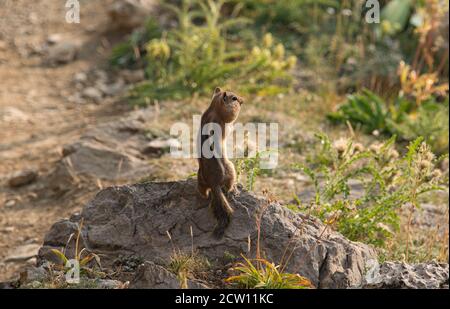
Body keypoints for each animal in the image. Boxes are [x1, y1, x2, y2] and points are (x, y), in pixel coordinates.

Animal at [198, 86, 244, 238]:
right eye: (234, 98)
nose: (242, 101)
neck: (213, 108)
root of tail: (214, 184)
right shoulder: (222, 120)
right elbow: (230, 119)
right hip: (231, 169)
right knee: (228, 187)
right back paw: (235, 188)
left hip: (200, 178)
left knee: (202, 191)